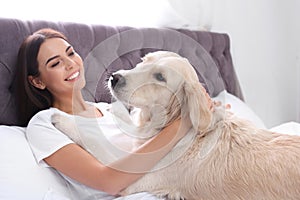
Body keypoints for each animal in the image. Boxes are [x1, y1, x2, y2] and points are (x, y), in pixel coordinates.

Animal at [52, 50, 300, 199]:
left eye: (160, 77)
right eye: (143, 61)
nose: (115, 77)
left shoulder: (130, 177)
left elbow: (95, 141)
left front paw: (61, 118)